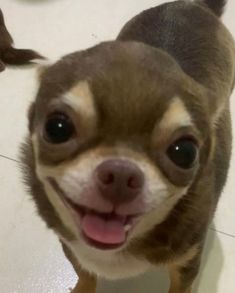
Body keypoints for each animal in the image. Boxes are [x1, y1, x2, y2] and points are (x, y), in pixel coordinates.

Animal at [20, 0, 235, 292]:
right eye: (57, 128)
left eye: (185, 152)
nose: (121, 175)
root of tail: (192, 4)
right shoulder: (71, 246)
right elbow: (84, 272)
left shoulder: (187, 262)